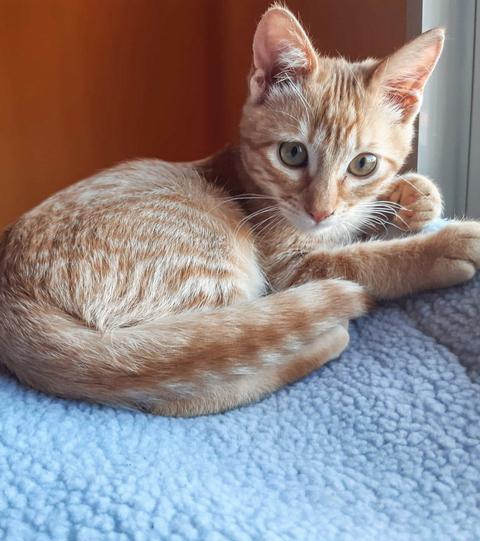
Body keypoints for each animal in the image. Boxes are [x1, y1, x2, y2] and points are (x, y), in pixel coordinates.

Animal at [0, 6, 479, 416]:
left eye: (363, 164)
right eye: (292, 153)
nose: (319, 212)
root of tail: (14, 296)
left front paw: (415, 196)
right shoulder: (291, 268)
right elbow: (362, 261)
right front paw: (443, 243)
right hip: (210, 267)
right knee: (186, 375)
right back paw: (321, 341)